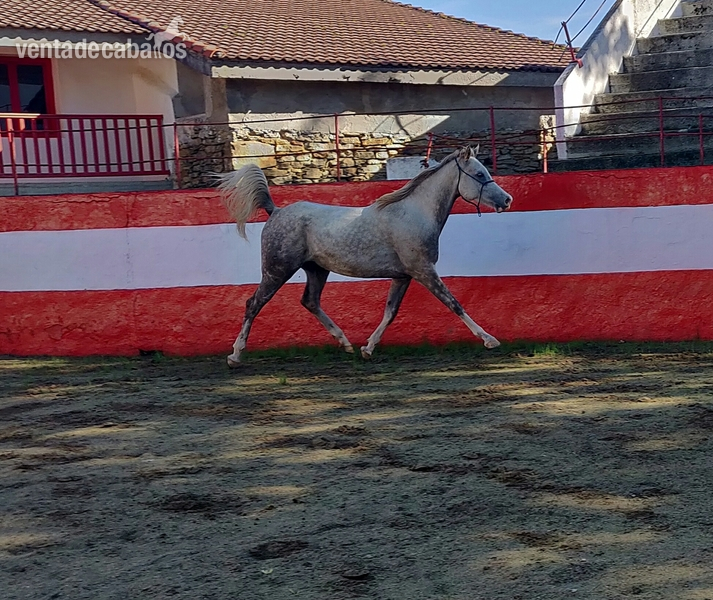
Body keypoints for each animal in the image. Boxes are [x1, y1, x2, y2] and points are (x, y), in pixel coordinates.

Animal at [218, 145, 513, 367]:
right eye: (479, 174)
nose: (508, 200)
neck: (414, 214)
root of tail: (276, 211)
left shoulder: (404, 275)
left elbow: (390, 312)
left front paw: (367, 349)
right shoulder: (423, 270)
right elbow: (454, 303)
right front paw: (489, 339)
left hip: (316, 269)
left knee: (310, 301)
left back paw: (346, 343)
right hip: (277, 269)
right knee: (253, 304)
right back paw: (235, 355)